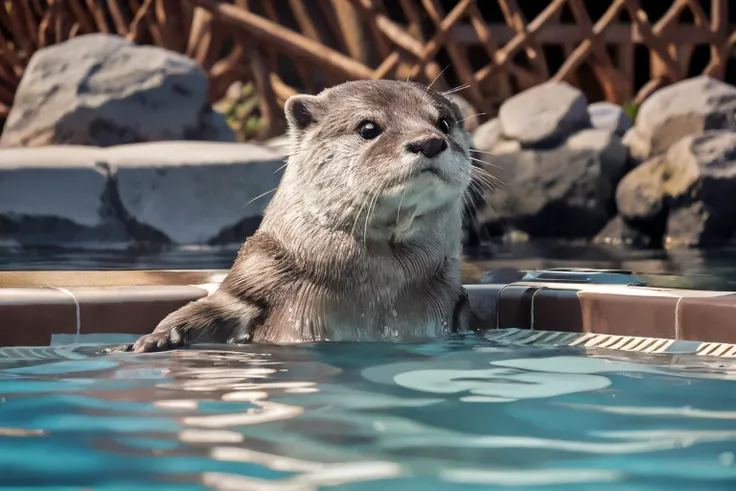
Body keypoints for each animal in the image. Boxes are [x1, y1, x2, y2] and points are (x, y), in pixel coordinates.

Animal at [108, 80, 478, 354]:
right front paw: (153, 340)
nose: (429, 142)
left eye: (443, 123)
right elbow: (205, 309)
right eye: (369, 127)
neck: (378, 287)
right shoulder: (258, 275)